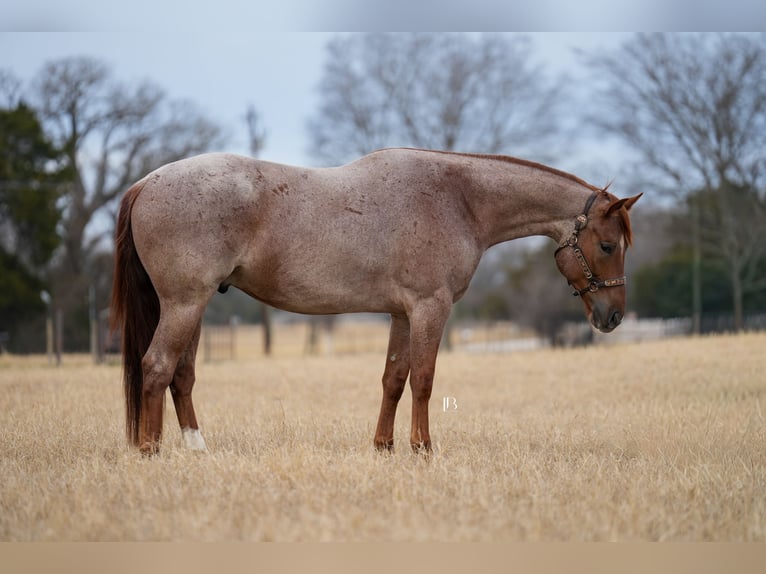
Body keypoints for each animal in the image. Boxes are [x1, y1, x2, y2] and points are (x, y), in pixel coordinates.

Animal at [110, 148, 641, 455]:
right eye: (607, 245)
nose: (613, 316)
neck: (460, 198)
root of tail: (147, 182)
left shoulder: (401, 313)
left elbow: (393, 379)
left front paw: (384, 447)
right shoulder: (430, 307)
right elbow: (424, 380)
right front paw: (423, 448)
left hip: (194, 306)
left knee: (181, 374)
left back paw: (195, 449)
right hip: (184, 303)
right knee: (157, 367)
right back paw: (150, 451)